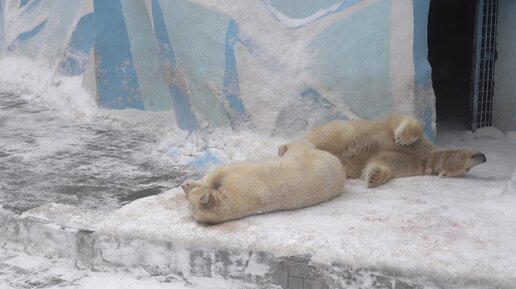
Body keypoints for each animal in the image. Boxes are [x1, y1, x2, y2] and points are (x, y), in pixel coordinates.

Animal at [181, 141, 346, 224]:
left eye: (190, 201)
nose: (186, 191)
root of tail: (339, 165)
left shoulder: (240, 178)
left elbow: (221, 172)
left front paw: (187, 185)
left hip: (309, 157)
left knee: (299, 146)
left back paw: (282, 148)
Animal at [278, 113, 484, 188]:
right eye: (469, 165)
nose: (484, 157)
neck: (427, 155)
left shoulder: (408, 162)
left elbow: (381, 164)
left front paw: (373, 176)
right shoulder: (389, 130)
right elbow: (406, 121)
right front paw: (402, 137)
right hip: (340, 129)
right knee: (329, 136)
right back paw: (283, 148)